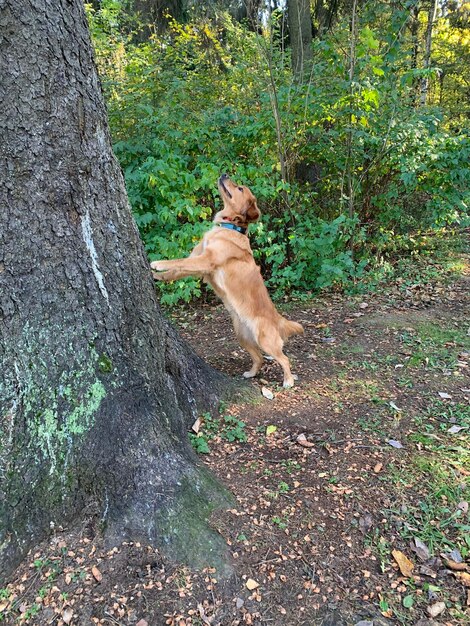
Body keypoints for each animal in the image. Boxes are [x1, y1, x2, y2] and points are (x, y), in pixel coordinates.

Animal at [151, 172, 304, 386]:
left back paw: (288, 380)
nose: (224, 174)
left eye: (240, 188)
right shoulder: (197, 262)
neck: (230, 226)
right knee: (258, 358)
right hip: (242, 337)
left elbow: (176, 261)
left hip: (265, 340)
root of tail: (277, 318)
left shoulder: (205, 261)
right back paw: (251, 373)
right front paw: (157, 276)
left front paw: (157, 263)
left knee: (284, 358)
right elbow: (176, 269)